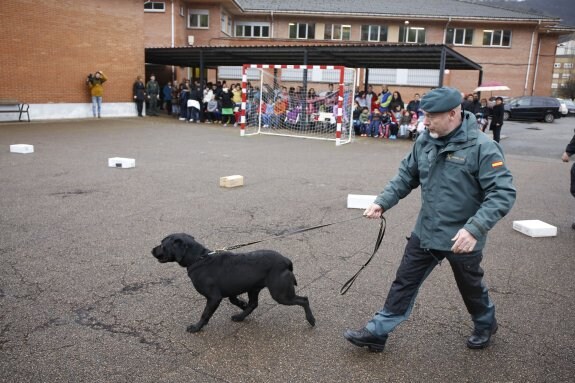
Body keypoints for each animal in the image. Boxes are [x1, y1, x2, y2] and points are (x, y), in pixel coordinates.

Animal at [151, 234, 318, 332]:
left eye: (162, 244)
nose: (152, 250)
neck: (199, 258)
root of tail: (286, 261)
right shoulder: (232, 290)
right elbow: (235, 300)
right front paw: (242, 304)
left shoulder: (214, 297)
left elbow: (205, 314)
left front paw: (196, 327)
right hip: (255, 288)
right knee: (253, 304)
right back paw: (240, 317)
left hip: (280, 294)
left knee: (304, 300)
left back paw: (311, 320)